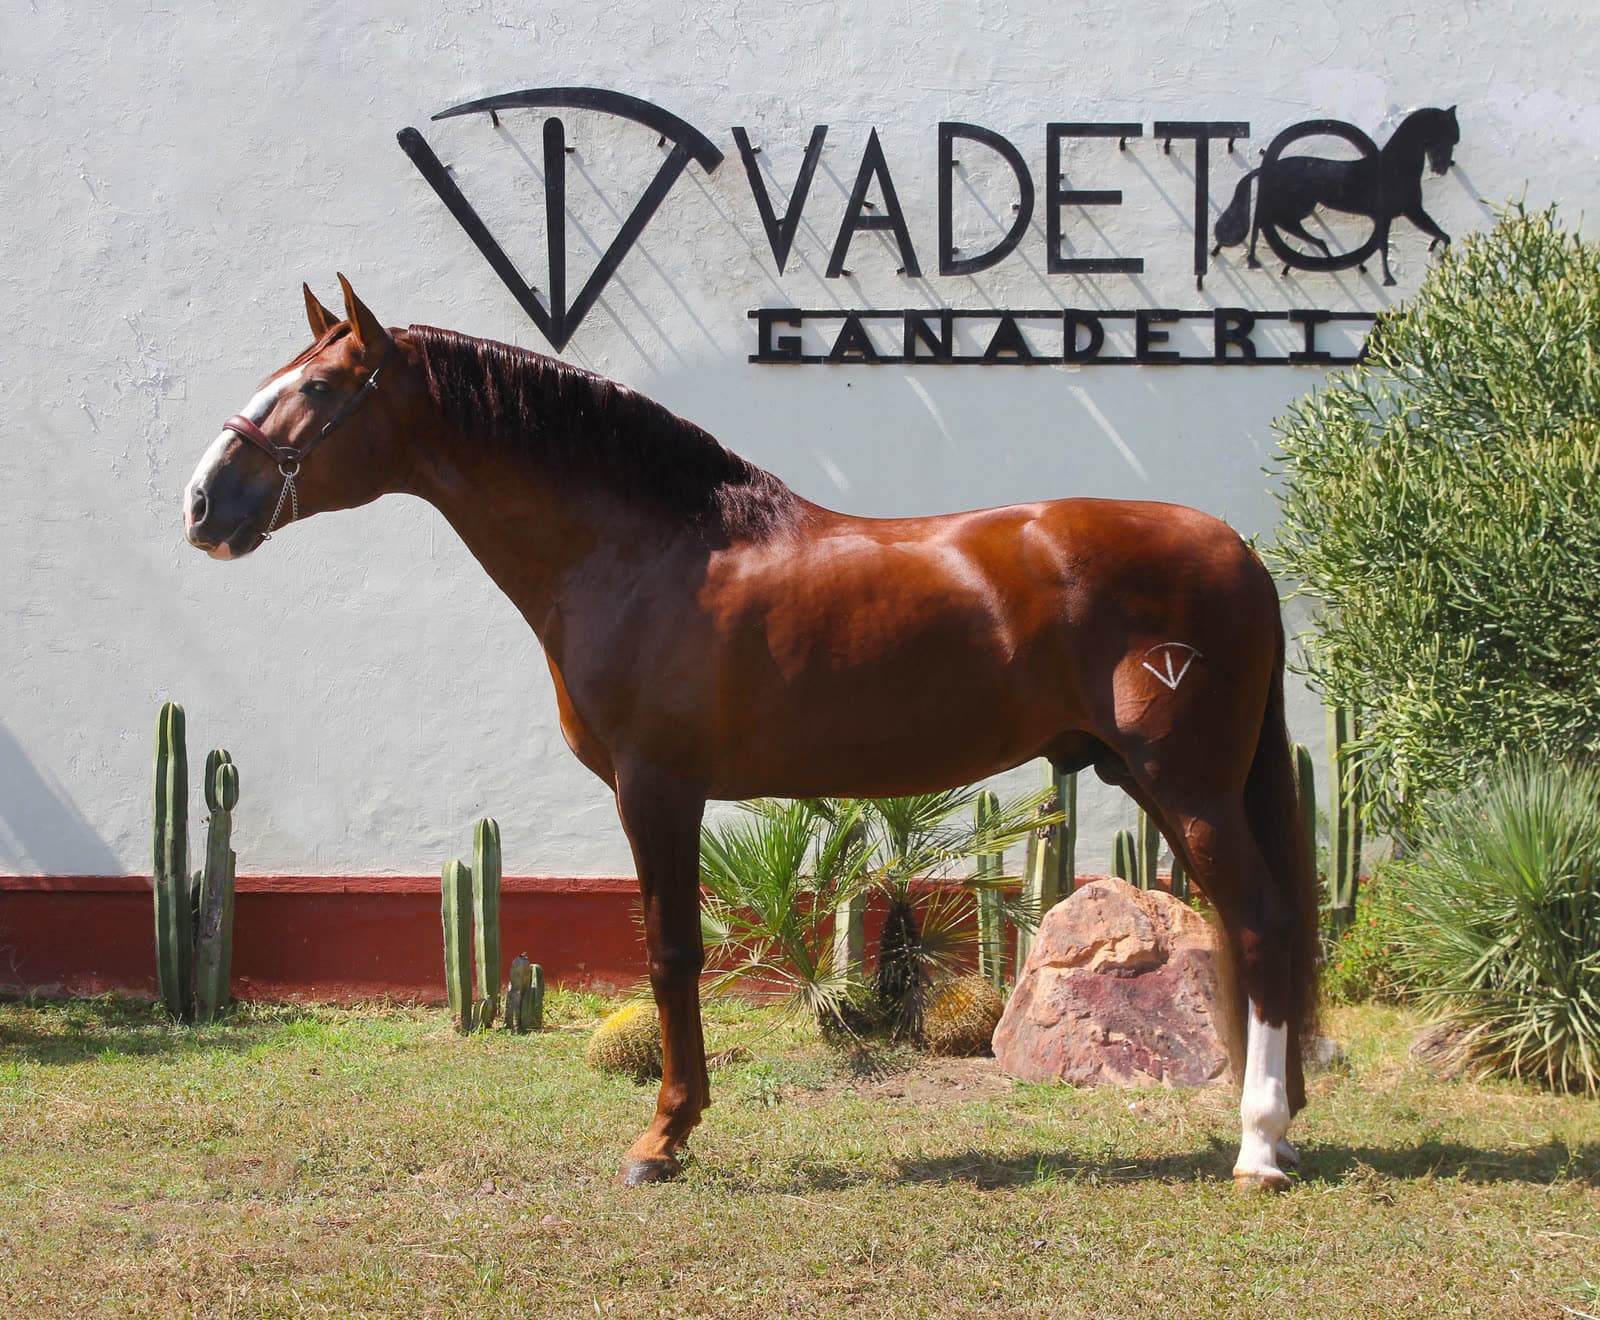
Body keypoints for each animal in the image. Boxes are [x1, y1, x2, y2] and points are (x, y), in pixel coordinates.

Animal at [183, 276, 1320, 1190]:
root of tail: (1238, 551)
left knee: (1262, 925)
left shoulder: (655, 787)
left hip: (1188, 787)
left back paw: (1260, 1146)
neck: (643, 550)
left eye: (317, 389)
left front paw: (663, 1139)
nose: (202, 504)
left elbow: (671, 953)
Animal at [1213, 106, 1459, 285]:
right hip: (1296, 205)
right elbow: (1386, 244)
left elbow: (1436, 232)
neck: (1396, 166)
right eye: (1445, 135)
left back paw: (1321, 252)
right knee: (1269, 222)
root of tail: (1266, 168)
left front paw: (1439, 251)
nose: (1442, 168)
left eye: (1454, 139)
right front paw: (1389, 277)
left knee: (1277, 223)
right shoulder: (1403, 211)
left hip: (1298, 207)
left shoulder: (1406, 211)